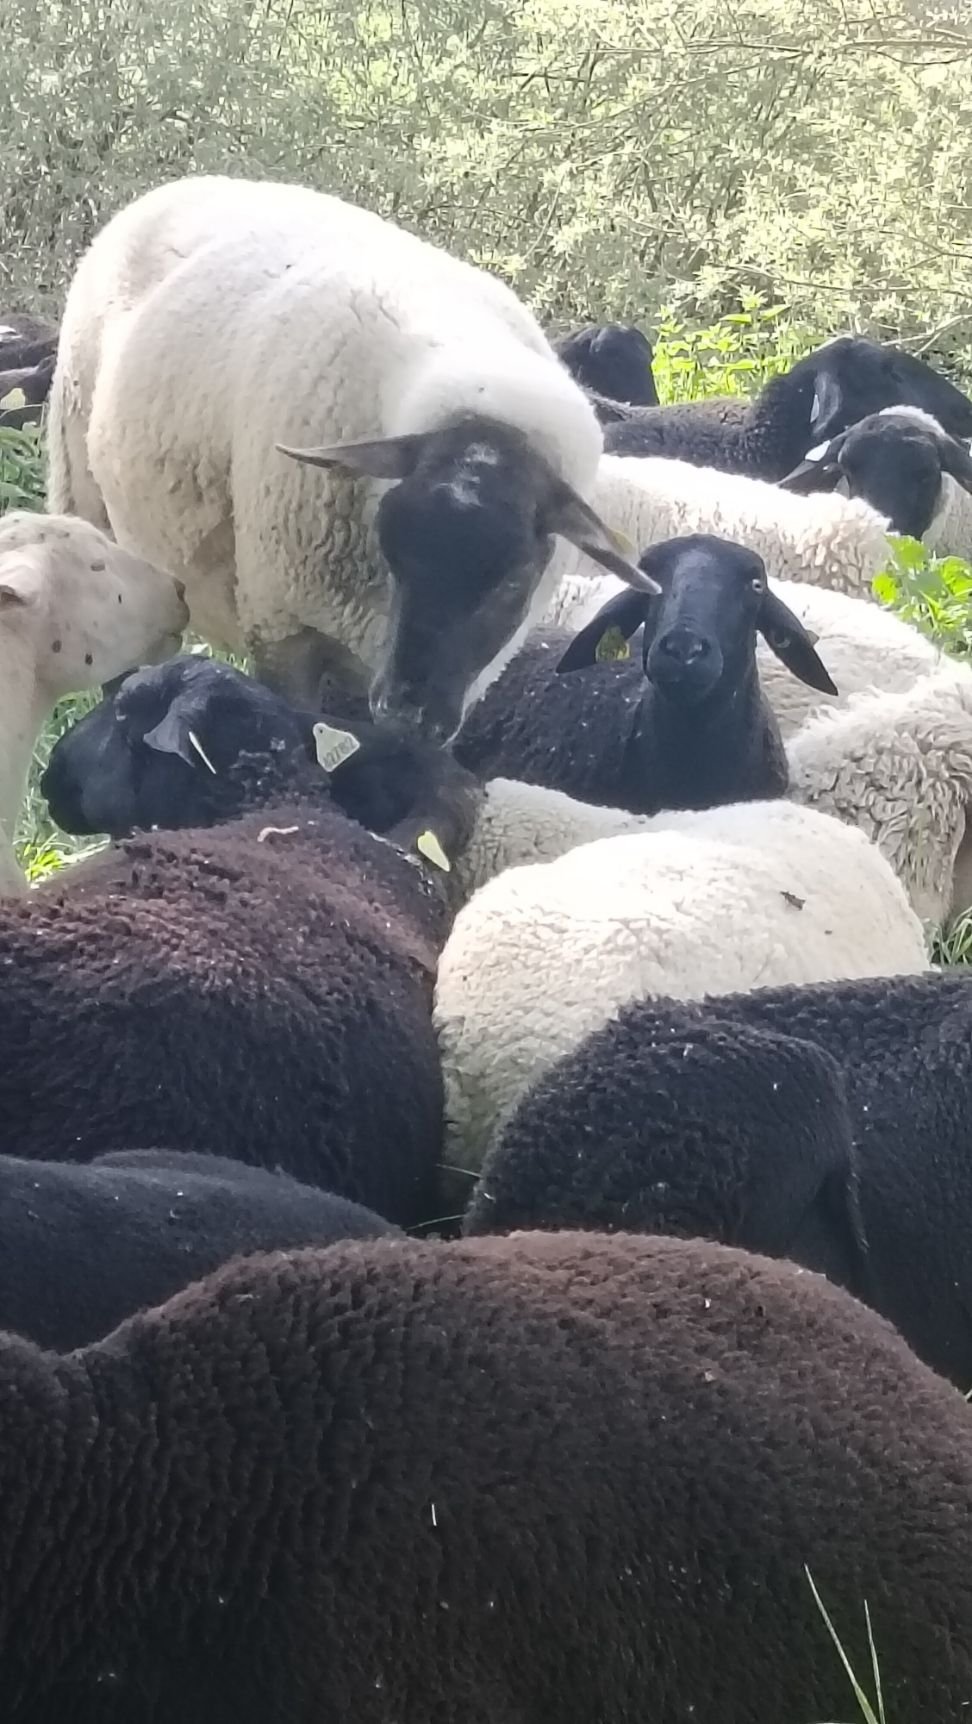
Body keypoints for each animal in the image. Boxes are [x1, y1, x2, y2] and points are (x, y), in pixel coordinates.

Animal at [47, 174, 652, 738]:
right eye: (393, 549)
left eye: (513, 581)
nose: (407, 713)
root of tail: (189, 182)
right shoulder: (282, 624)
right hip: (89, 502)